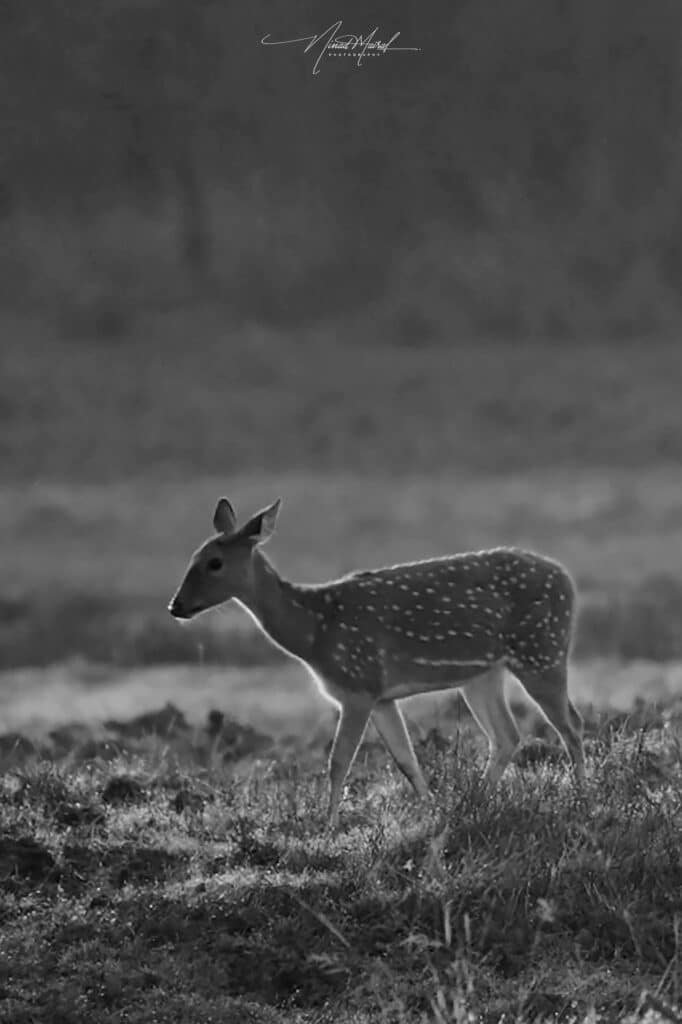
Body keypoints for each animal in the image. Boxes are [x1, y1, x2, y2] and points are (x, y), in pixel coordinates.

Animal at [168, 497, 585, 828]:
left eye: (215, 562)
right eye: (192, 558)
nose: (175, 606)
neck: (315, 631)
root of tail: (567, 578)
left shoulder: (358, 682)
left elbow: (339, 761)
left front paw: (327, 828)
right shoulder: (382, 696)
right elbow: (405, 760)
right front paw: (432, 812)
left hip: (542, 651)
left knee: (570, 723)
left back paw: (583, 800)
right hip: (483, 673)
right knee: (506, 735)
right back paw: (475, 804)